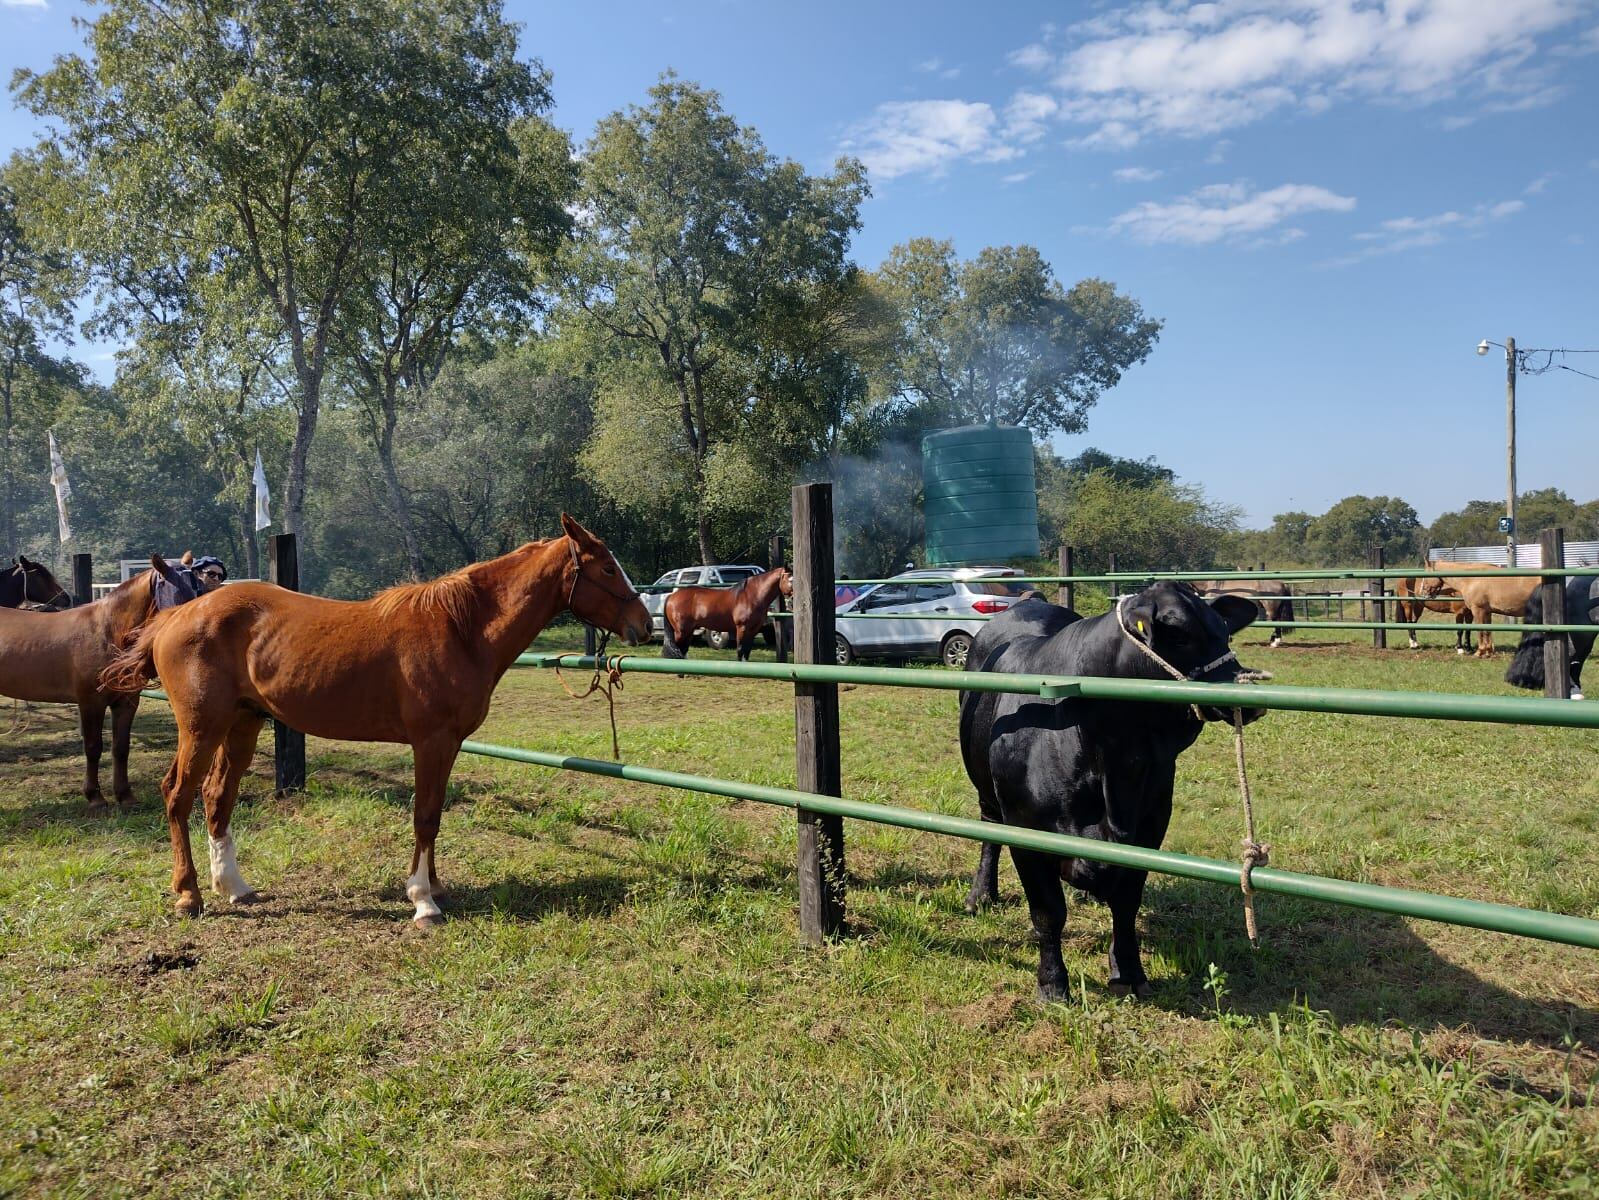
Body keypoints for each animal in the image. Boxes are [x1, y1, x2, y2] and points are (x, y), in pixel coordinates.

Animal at [0, 560, 203, 812]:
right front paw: (95, 797)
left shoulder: (126, 702)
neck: (107, 632)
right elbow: (93, 748)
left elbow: (121, 748)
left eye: (197, 585)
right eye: (174, 587)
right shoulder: (90, 703)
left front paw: (125, 795)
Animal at [99, 518, 645, 928]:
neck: (461, 628)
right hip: (201, 728)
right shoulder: (431, 742)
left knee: (217, 796)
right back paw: (189, 895)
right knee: (177, 794)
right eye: (606, 567)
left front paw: (435, 886)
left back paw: (234, 886)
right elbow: (424, 816)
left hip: (242, 725)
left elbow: (435, 813)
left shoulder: (447, 745)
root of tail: (174, 619)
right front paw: (423, 900)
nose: (643, 623)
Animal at [655, 566, 793, 662]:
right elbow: (740, 650)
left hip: (688, 631)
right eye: (790, 579)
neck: (751, 596)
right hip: (681, 631)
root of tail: (671, 596)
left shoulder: (753, 630)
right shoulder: (742, 628)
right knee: (677, 648)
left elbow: (747, 651)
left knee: (683, 650)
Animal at [959, 585, 1260, 1004]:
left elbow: (1127, 902)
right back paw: (982, 895)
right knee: (989, 831)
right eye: (1180, 636)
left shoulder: (1150, 826)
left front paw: (1129, 973)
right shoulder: (1026, 829)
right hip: (988, 793)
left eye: (1225, 633)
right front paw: (1053, 984)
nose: (1248, 695)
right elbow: (1048, 912)